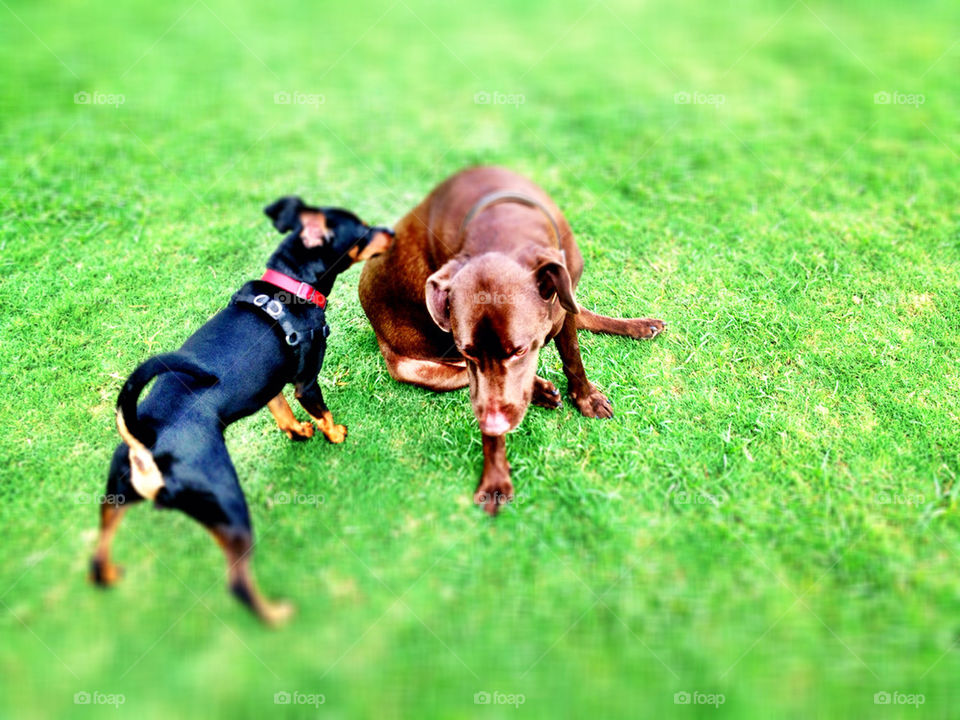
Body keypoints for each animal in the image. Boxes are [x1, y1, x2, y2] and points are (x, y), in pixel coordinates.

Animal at [90, 197, 390, 624]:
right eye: (363, 231)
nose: (392, 231)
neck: (291, 287)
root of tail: (144, 439)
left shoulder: (270, 385)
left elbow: (281, 413)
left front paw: (298, 432)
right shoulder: (306, 382)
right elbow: (323, 413)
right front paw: (335, 434)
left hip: (114, 498)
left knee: (98, 556)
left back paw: (110, 573)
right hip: (229, 510)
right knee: (238, 584)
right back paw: (275, 615)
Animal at [356, 165, 664, 512]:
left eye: (518, 351)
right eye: (469, 351)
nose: (492, 423)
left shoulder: (562, 300)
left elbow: (573, 356)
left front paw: (586, 398)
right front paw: (495, 478)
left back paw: (641, 326)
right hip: (411, 368)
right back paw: (542, 391)